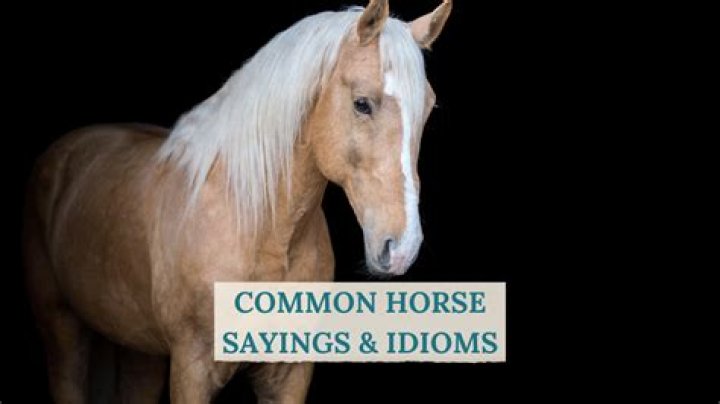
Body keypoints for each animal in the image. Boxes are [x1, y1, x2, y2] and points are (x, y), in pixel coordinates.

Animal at [22, 1, 452, 402]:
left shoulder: (291, 373)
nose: (402, 247)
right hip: (63, 329)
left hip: (138, 348)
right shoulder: (192, 369)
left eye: (429, 108)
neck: (260, 230)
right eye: (362, 103)